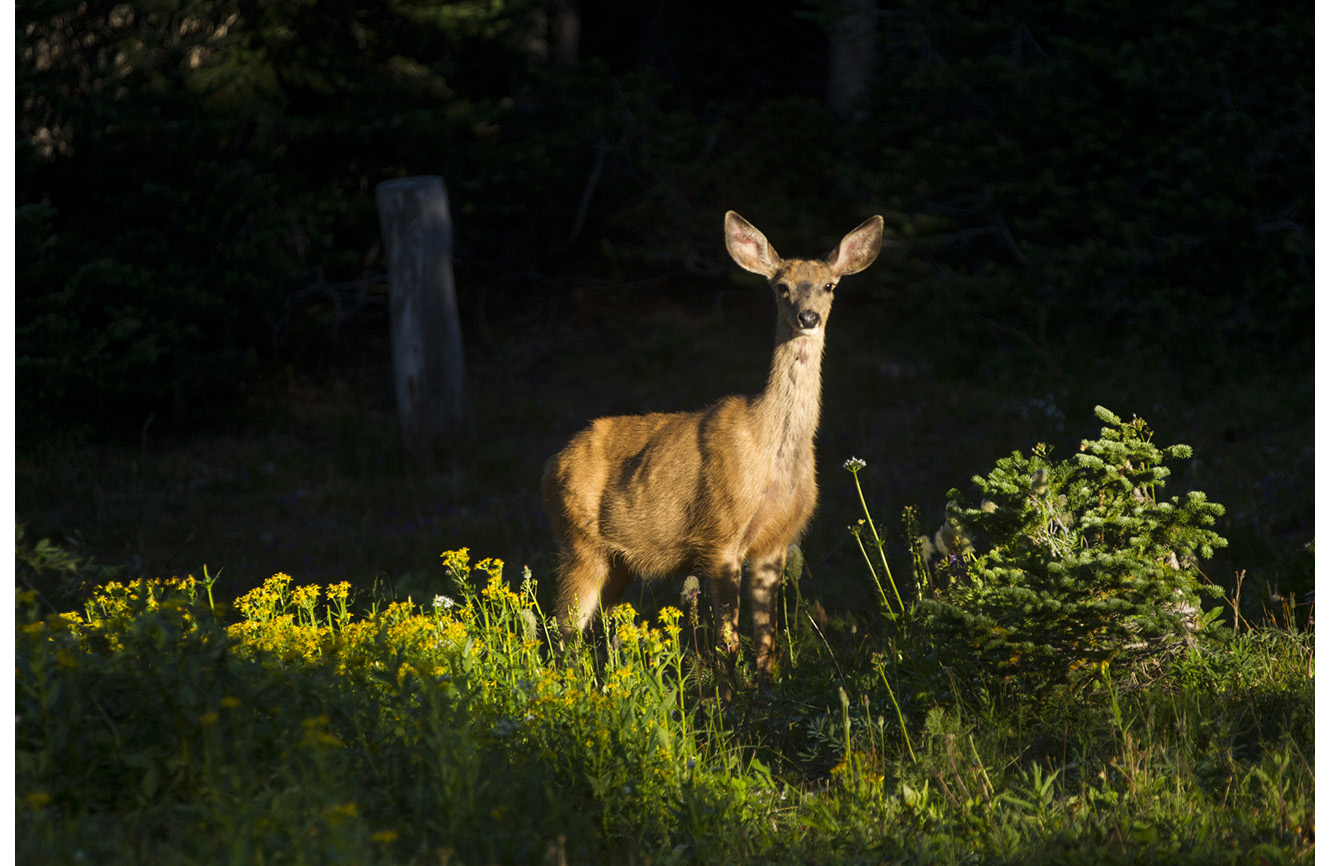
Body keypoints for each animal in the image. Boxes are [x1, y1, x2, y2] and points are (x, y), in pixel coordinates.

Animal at [539, 208, 883, 686]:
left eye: (830, 285)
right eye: (781, 286)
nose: (808, 316)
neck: (772, 454)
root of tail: (549, 466)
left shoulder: (775, 543)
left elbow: (767, 638)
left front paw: (767, 687)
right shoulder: (718, 535)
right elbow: (728, 641)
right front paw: (729, 695)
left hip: (616, 563)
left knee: (591, 628)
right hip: (578, 543)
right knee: (563, 630)